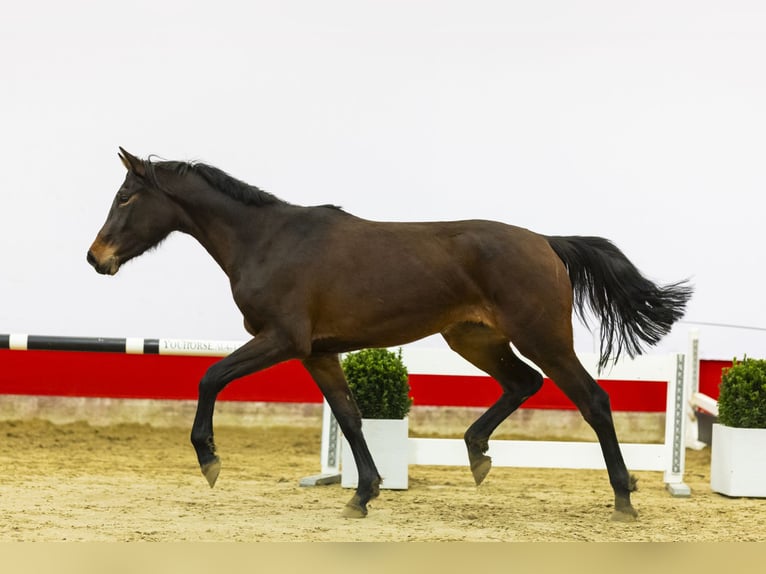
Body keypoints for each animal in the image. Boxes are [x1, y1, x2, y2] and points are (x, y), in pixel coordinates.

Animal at [87, 148, 692, 520]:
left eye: (125, 198)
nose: (96, 258)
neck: (269, 240)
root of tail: (546, 242)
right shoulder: (318, 353)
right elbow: (351, 417)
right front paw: (362, 494)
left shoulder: (282, 340)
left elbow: (210, 377)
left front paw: (209, 460)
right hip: (473, 339)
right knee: (523, 384)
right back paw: (477, 455)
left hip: (543, 338)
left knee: (593, 400)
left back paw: (624, 499)